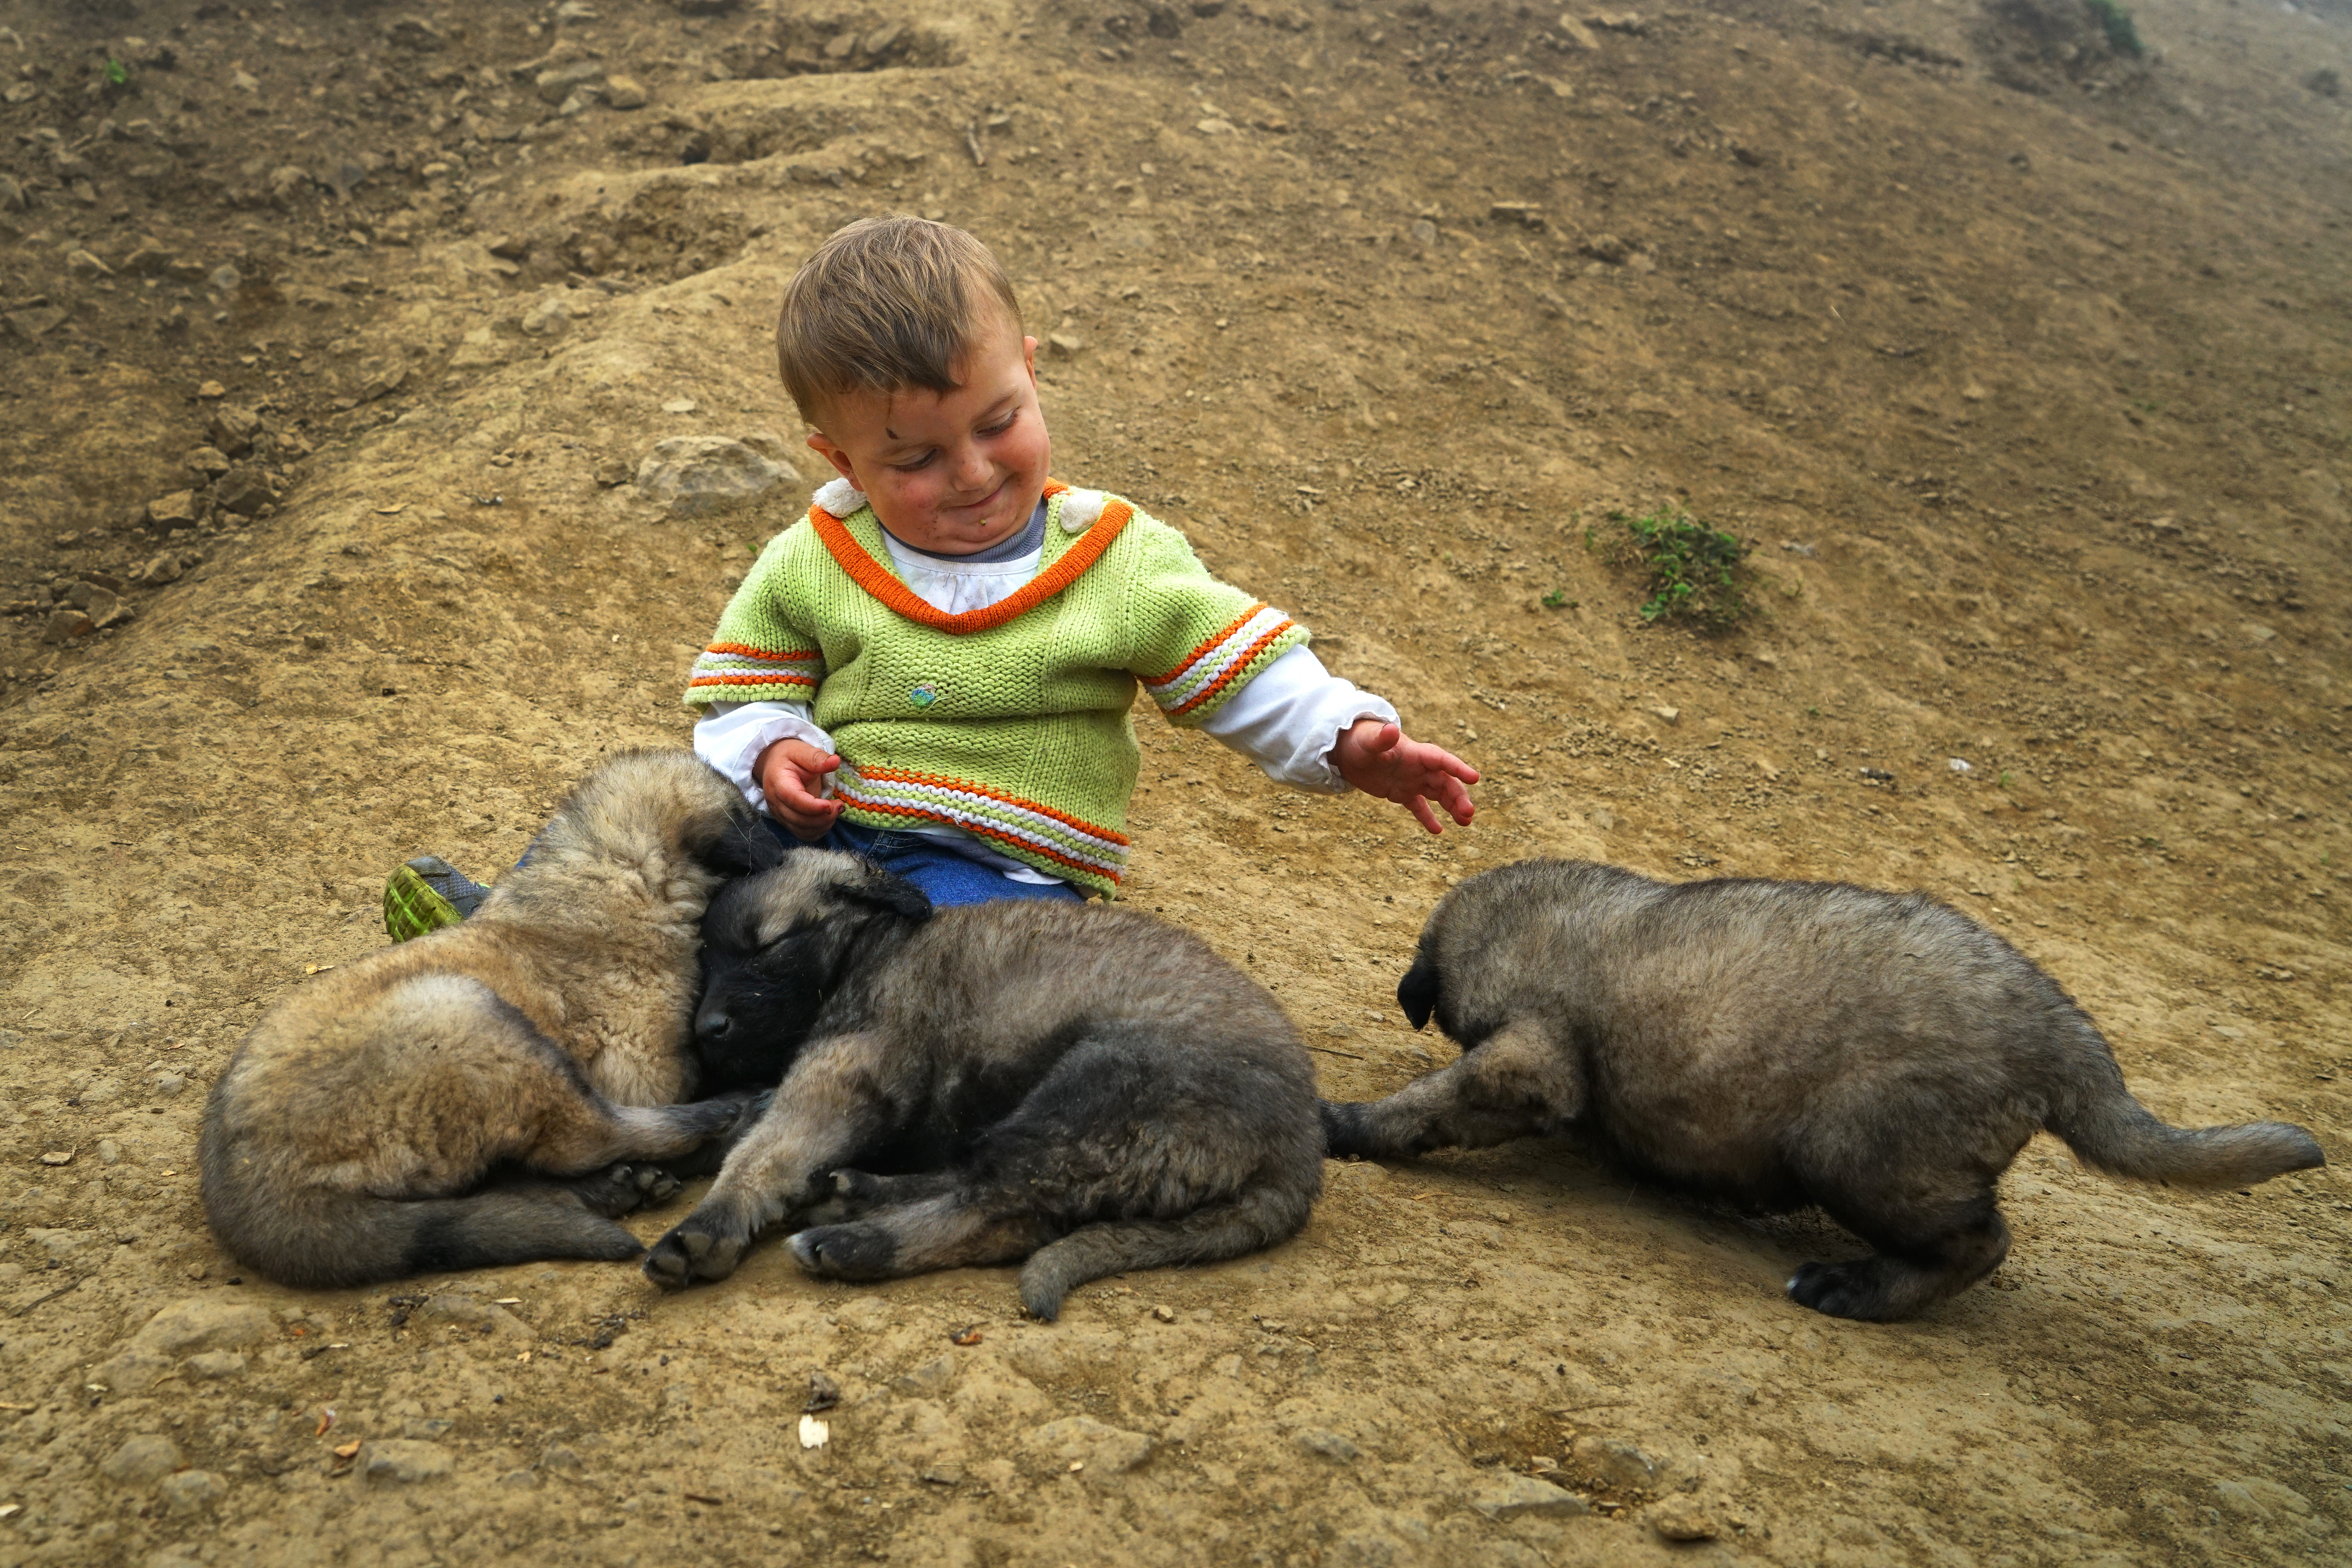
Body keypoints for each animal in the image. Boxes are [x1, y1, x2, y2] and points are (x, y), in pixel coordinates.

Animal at [197, 752, 776, 1288]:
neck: (609, 877)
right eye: (752, 818)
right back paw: (724, 1114)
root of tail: (251, 1194)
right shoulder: (643, 1068)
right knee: (586, 1135)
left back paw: (615, 1187)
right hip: (470, 1018)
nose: (792, 846)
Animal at [644, 851, 1336, 1316]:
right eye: (706, 958)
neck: (875, 947)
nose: (707, 1029)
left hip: (1096, 1091)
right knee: (988, 1184)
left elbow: (762, 1153)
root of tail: (1297, 1153)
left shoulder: (843, 1074)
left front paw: (706, 1226)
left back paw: (853, 1241)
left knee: (997, 1212)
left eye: (769, 944)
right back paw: (856, 1193)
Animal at [1317, 865, 2324, 1316]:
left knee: (1979, 1242)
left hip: (1855, 1148)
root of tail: (2063, 1035)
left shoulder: (1531, 1057)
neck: (1561, 915)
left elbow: (1432, 1102)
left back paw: (1853, 1287)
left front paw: (1345, 1123)